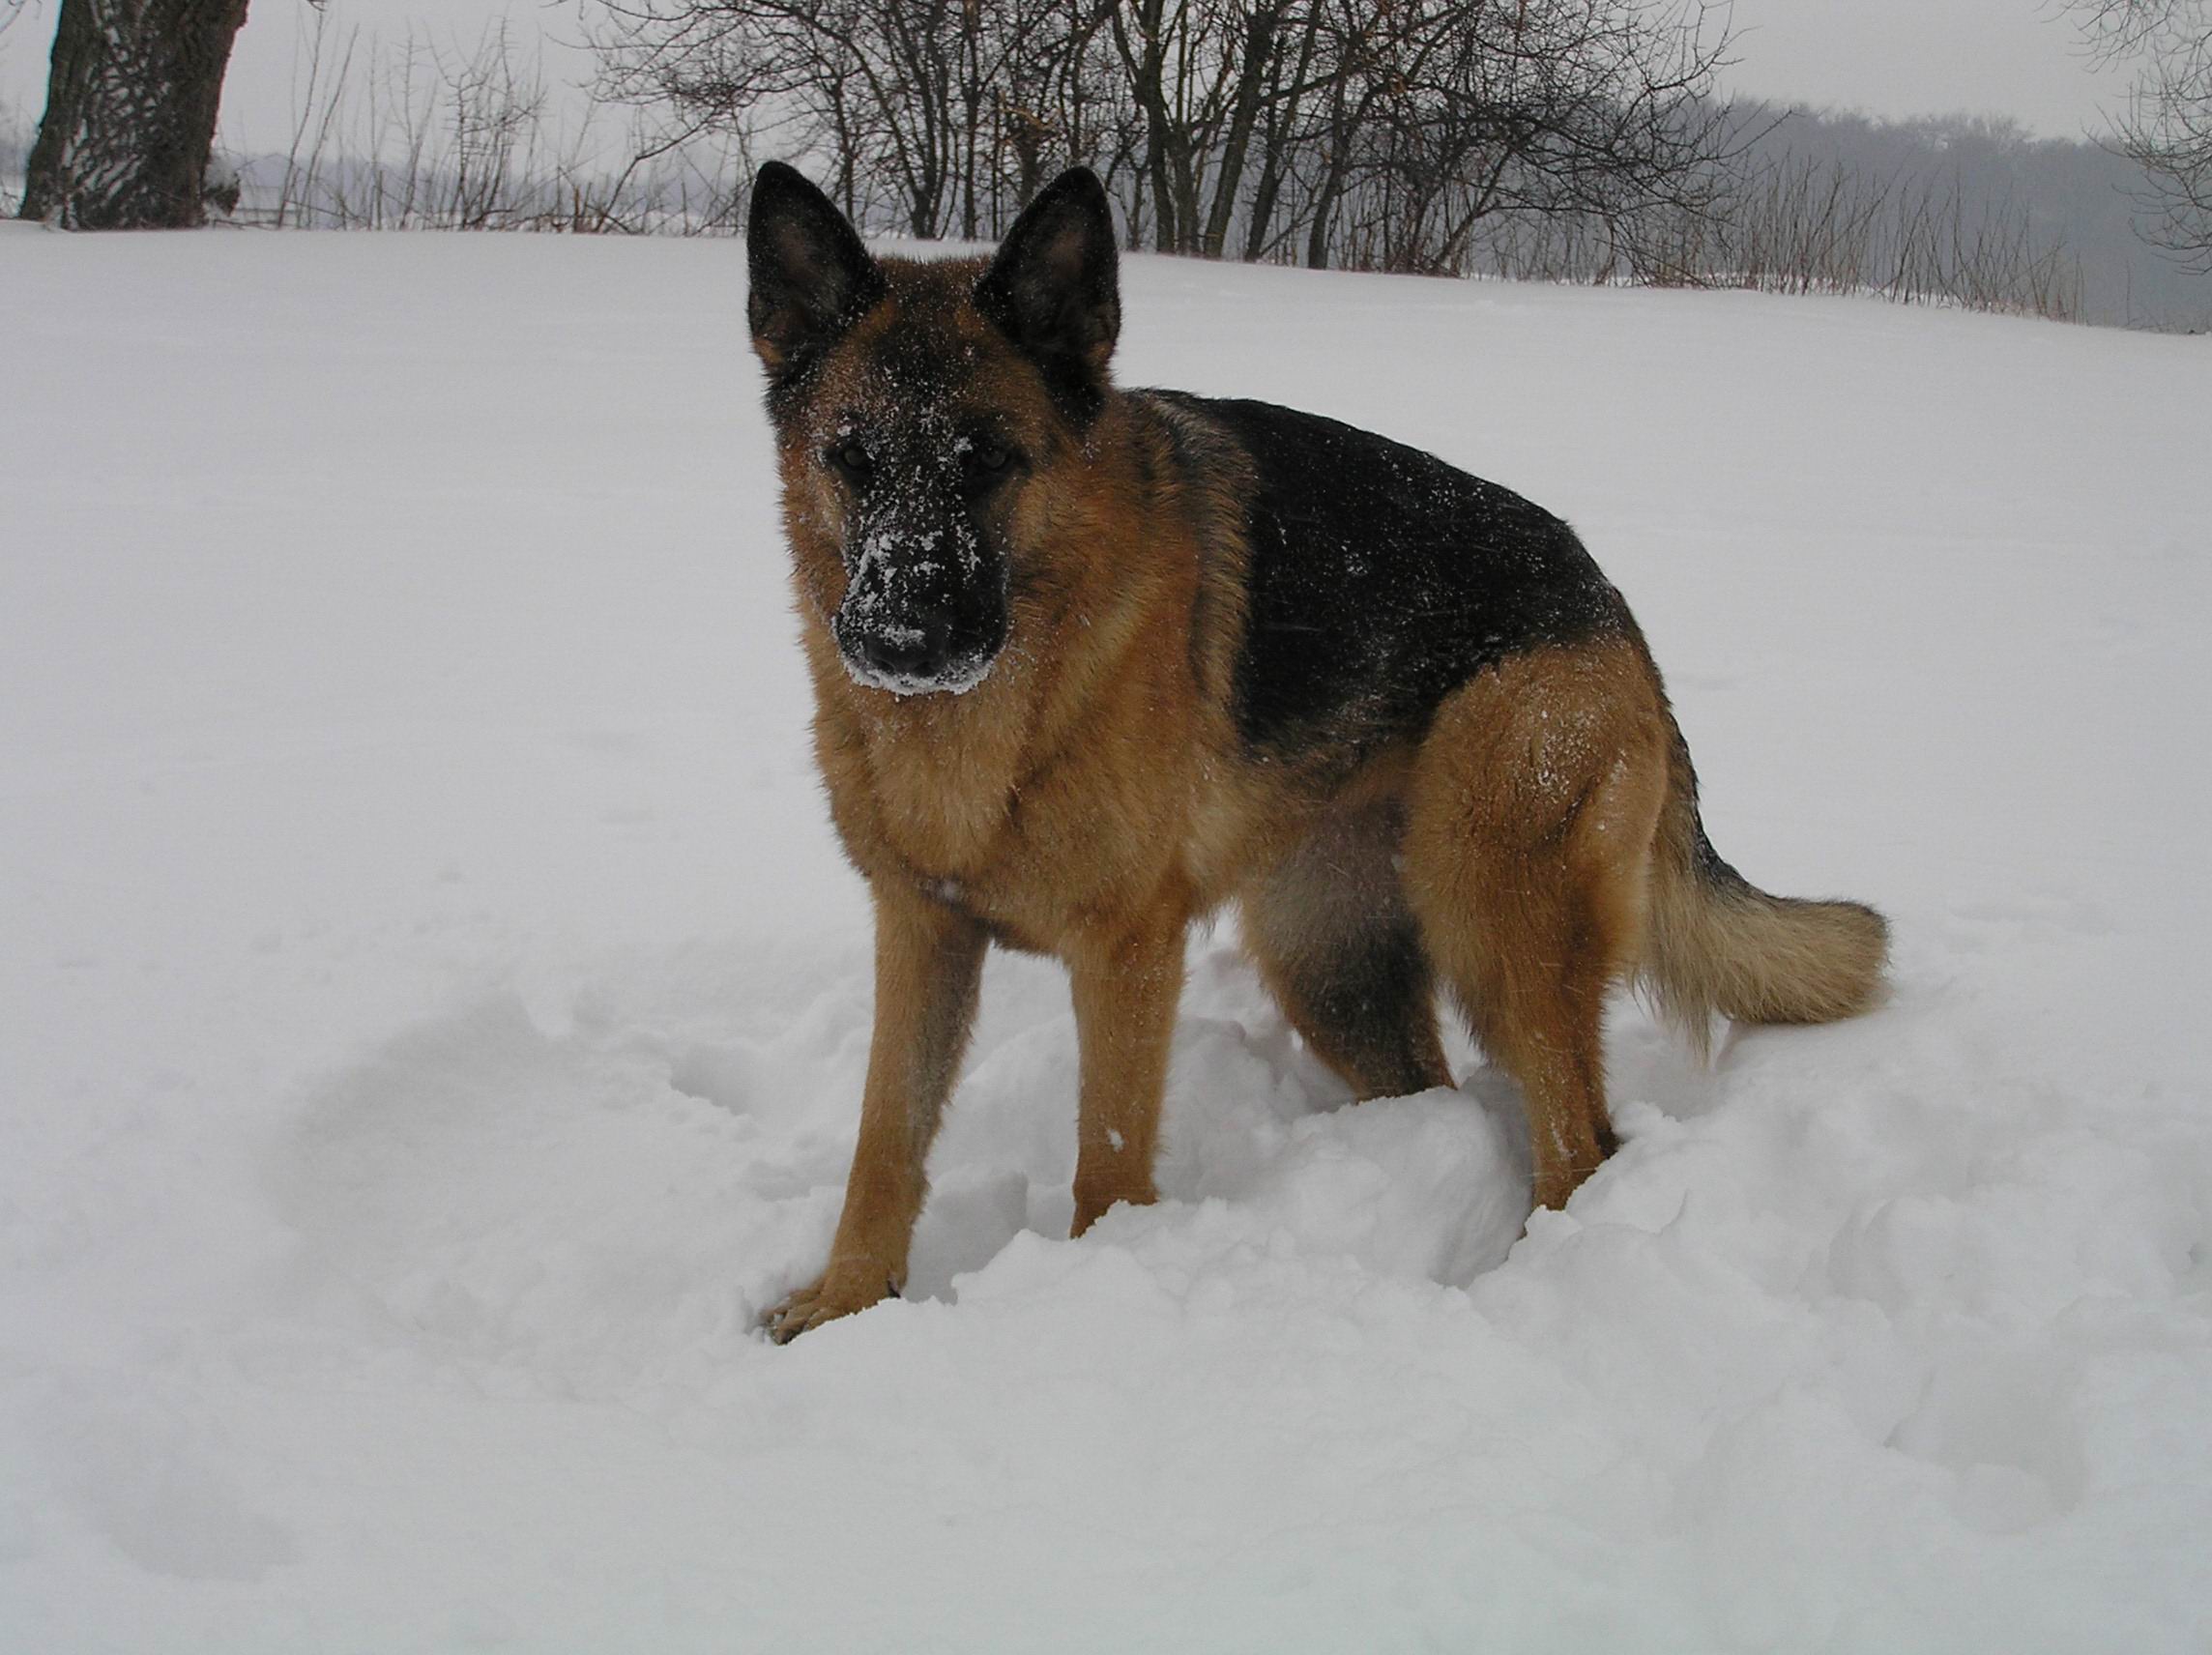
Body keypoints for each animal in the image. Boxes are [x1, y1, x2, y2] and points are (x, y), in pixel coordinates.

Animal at [747, 161, 1884, 1336]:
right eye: (851, 459)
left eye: (987, 464)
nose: (899, 640)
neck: (997, 708)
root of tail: (1609, 601)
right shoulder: (921, 933)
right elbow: (882, 1142)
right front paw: (845, 1302)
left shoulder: (1124, 955)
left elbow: (1105, 1161)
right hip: (1330, 962)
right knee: (1445, 1092)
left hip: (1496, 920)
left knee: (1581, 1141)